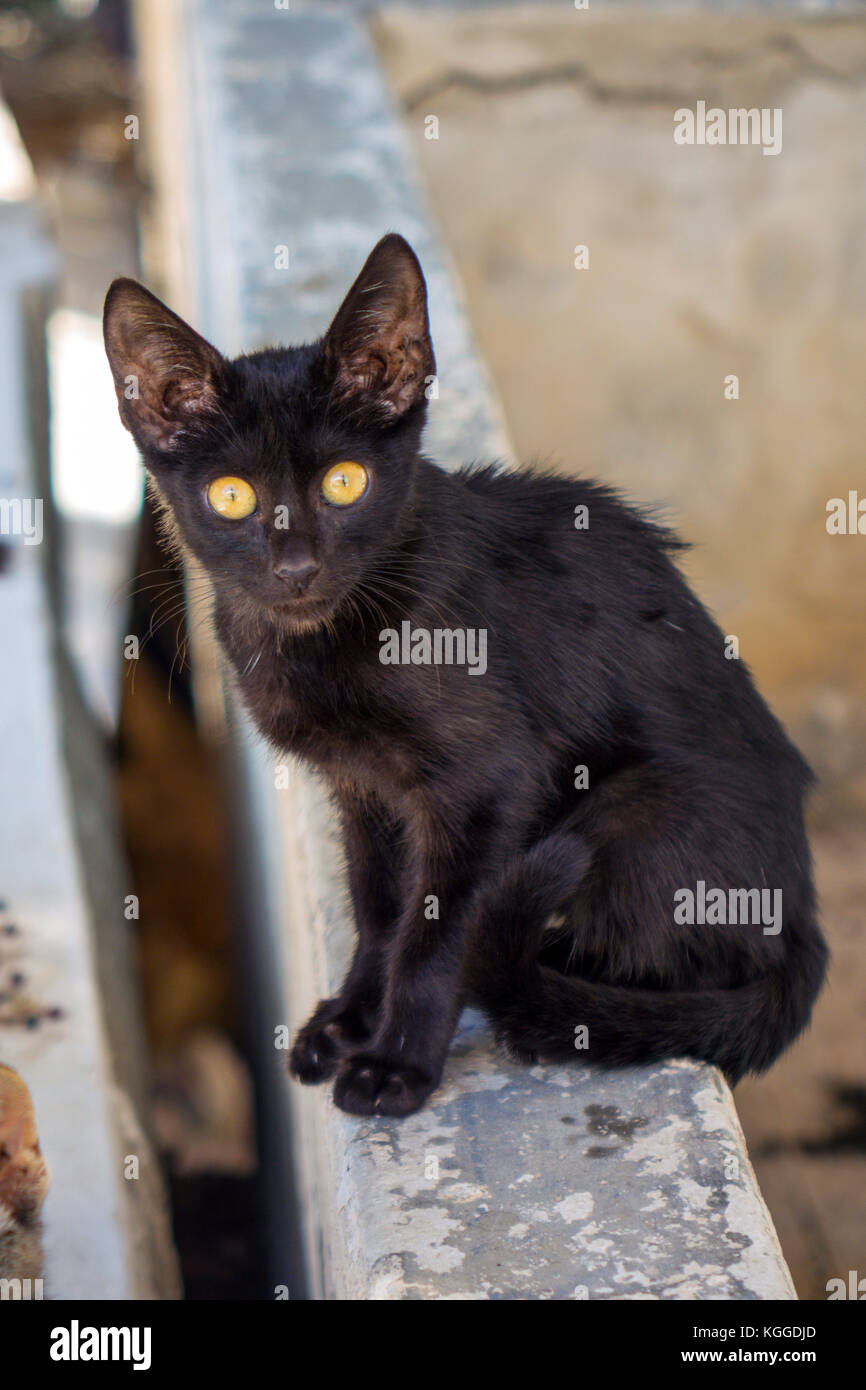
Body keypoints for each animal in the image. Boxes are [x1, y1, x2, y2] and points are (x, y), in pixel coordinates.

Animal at [104, 230, 828, 1117]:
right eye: (231, 496)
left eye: (344, 483)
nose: (296, 567)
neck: (329, 640)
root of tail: (805, 906)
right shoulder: (365, 789)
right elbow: (380, 912)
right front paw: (352, 1017)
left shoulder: (488, 784)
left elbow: (435, 935)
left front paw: (396, 1062)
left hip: (635, 814)